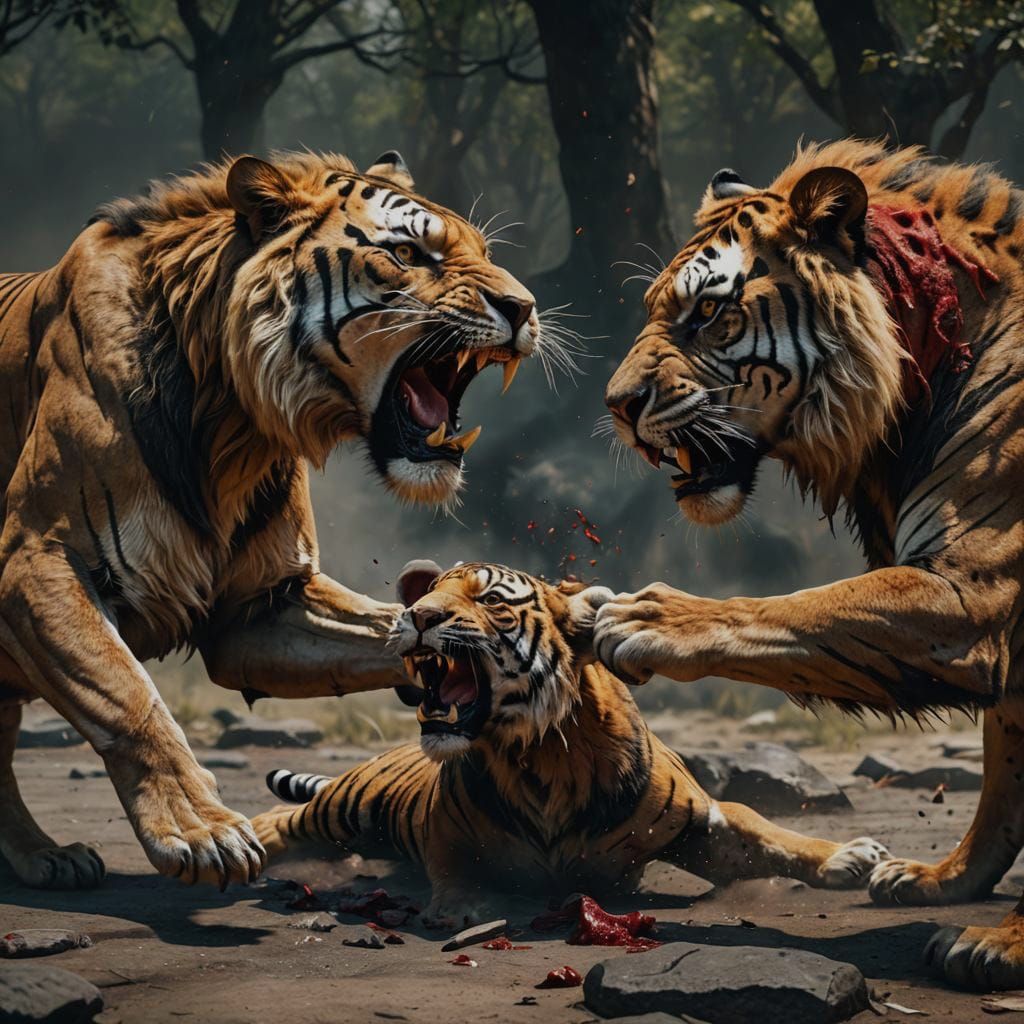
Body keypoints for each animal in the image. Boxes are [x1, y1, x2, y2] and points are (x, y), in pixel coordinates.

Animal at [0, 149, 540, 893]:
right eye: (407, 253)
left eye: (485, 253)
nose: (524, 308)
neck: (231, 418)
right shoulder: (36, 561)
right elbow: (129, 696)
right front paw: (199, 832)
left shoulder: (261, 606)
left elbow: (382, 629)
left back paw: (38, 854)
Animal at [251, 559, 887, 927]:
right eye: (426, 594)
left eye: (489, 600)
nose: (416, 615)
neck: (542, 757)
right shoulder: (442, 826)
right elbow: (452, 863)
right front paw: (463, 905)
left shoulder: (702, 825)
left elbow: (766, 831)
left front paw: (847, 856)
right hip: (345, 809)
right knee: (279, 821)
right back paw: (237, 849)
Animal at [594, 138, 1024, 989]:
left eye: (707, 313)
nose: (617, 405)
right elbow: (1004, 773)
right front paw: (947, 880)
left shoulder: (969, 590)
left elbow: (800, 608)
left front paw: (651, 616)